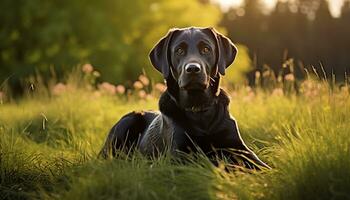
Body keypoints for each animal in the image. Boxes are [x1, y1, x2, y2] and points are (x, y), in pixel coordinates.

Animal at [99, 27, 270, 170]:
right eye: (179, 50)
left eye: (206, 49)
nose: (193, 69)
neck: (199, 109)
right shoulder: (179, 155)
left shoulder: (240, 148)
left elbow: (262, 167)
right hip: (127, 122)